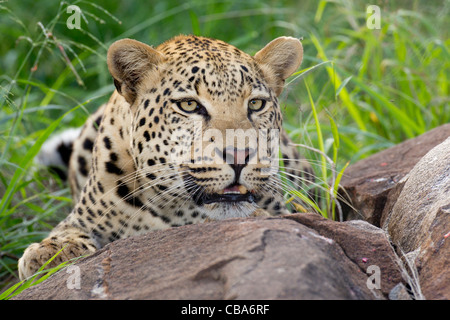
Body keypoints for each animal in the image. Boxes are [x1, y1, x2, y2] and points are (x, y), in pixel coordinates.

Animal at [18, 34, 312, 280]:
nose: (239, 155)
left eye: (256, 104)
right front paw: (50, 254)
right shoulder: (83, 218)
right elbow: (64, 232)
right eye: (189, 105)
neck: (173, 208)